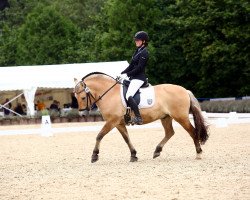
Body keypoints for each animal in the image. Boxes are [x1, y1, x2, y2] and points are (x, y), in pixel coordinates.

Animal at [73, 72, 209, 162]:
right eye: (75, 97)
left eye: (83, 98)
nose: (82, 114)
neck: (110, 94)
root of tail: (185, 90)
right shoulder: (119, 123)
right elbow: (126, 138)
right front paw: (133, 155)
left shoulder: (112, 121)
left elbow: (99, 135)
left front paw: (94, 155)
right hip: (166, 117)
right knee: (170, 132)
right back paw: (157, 151)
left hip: (181, 117)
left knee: (192, 132)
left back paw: (198, 154)